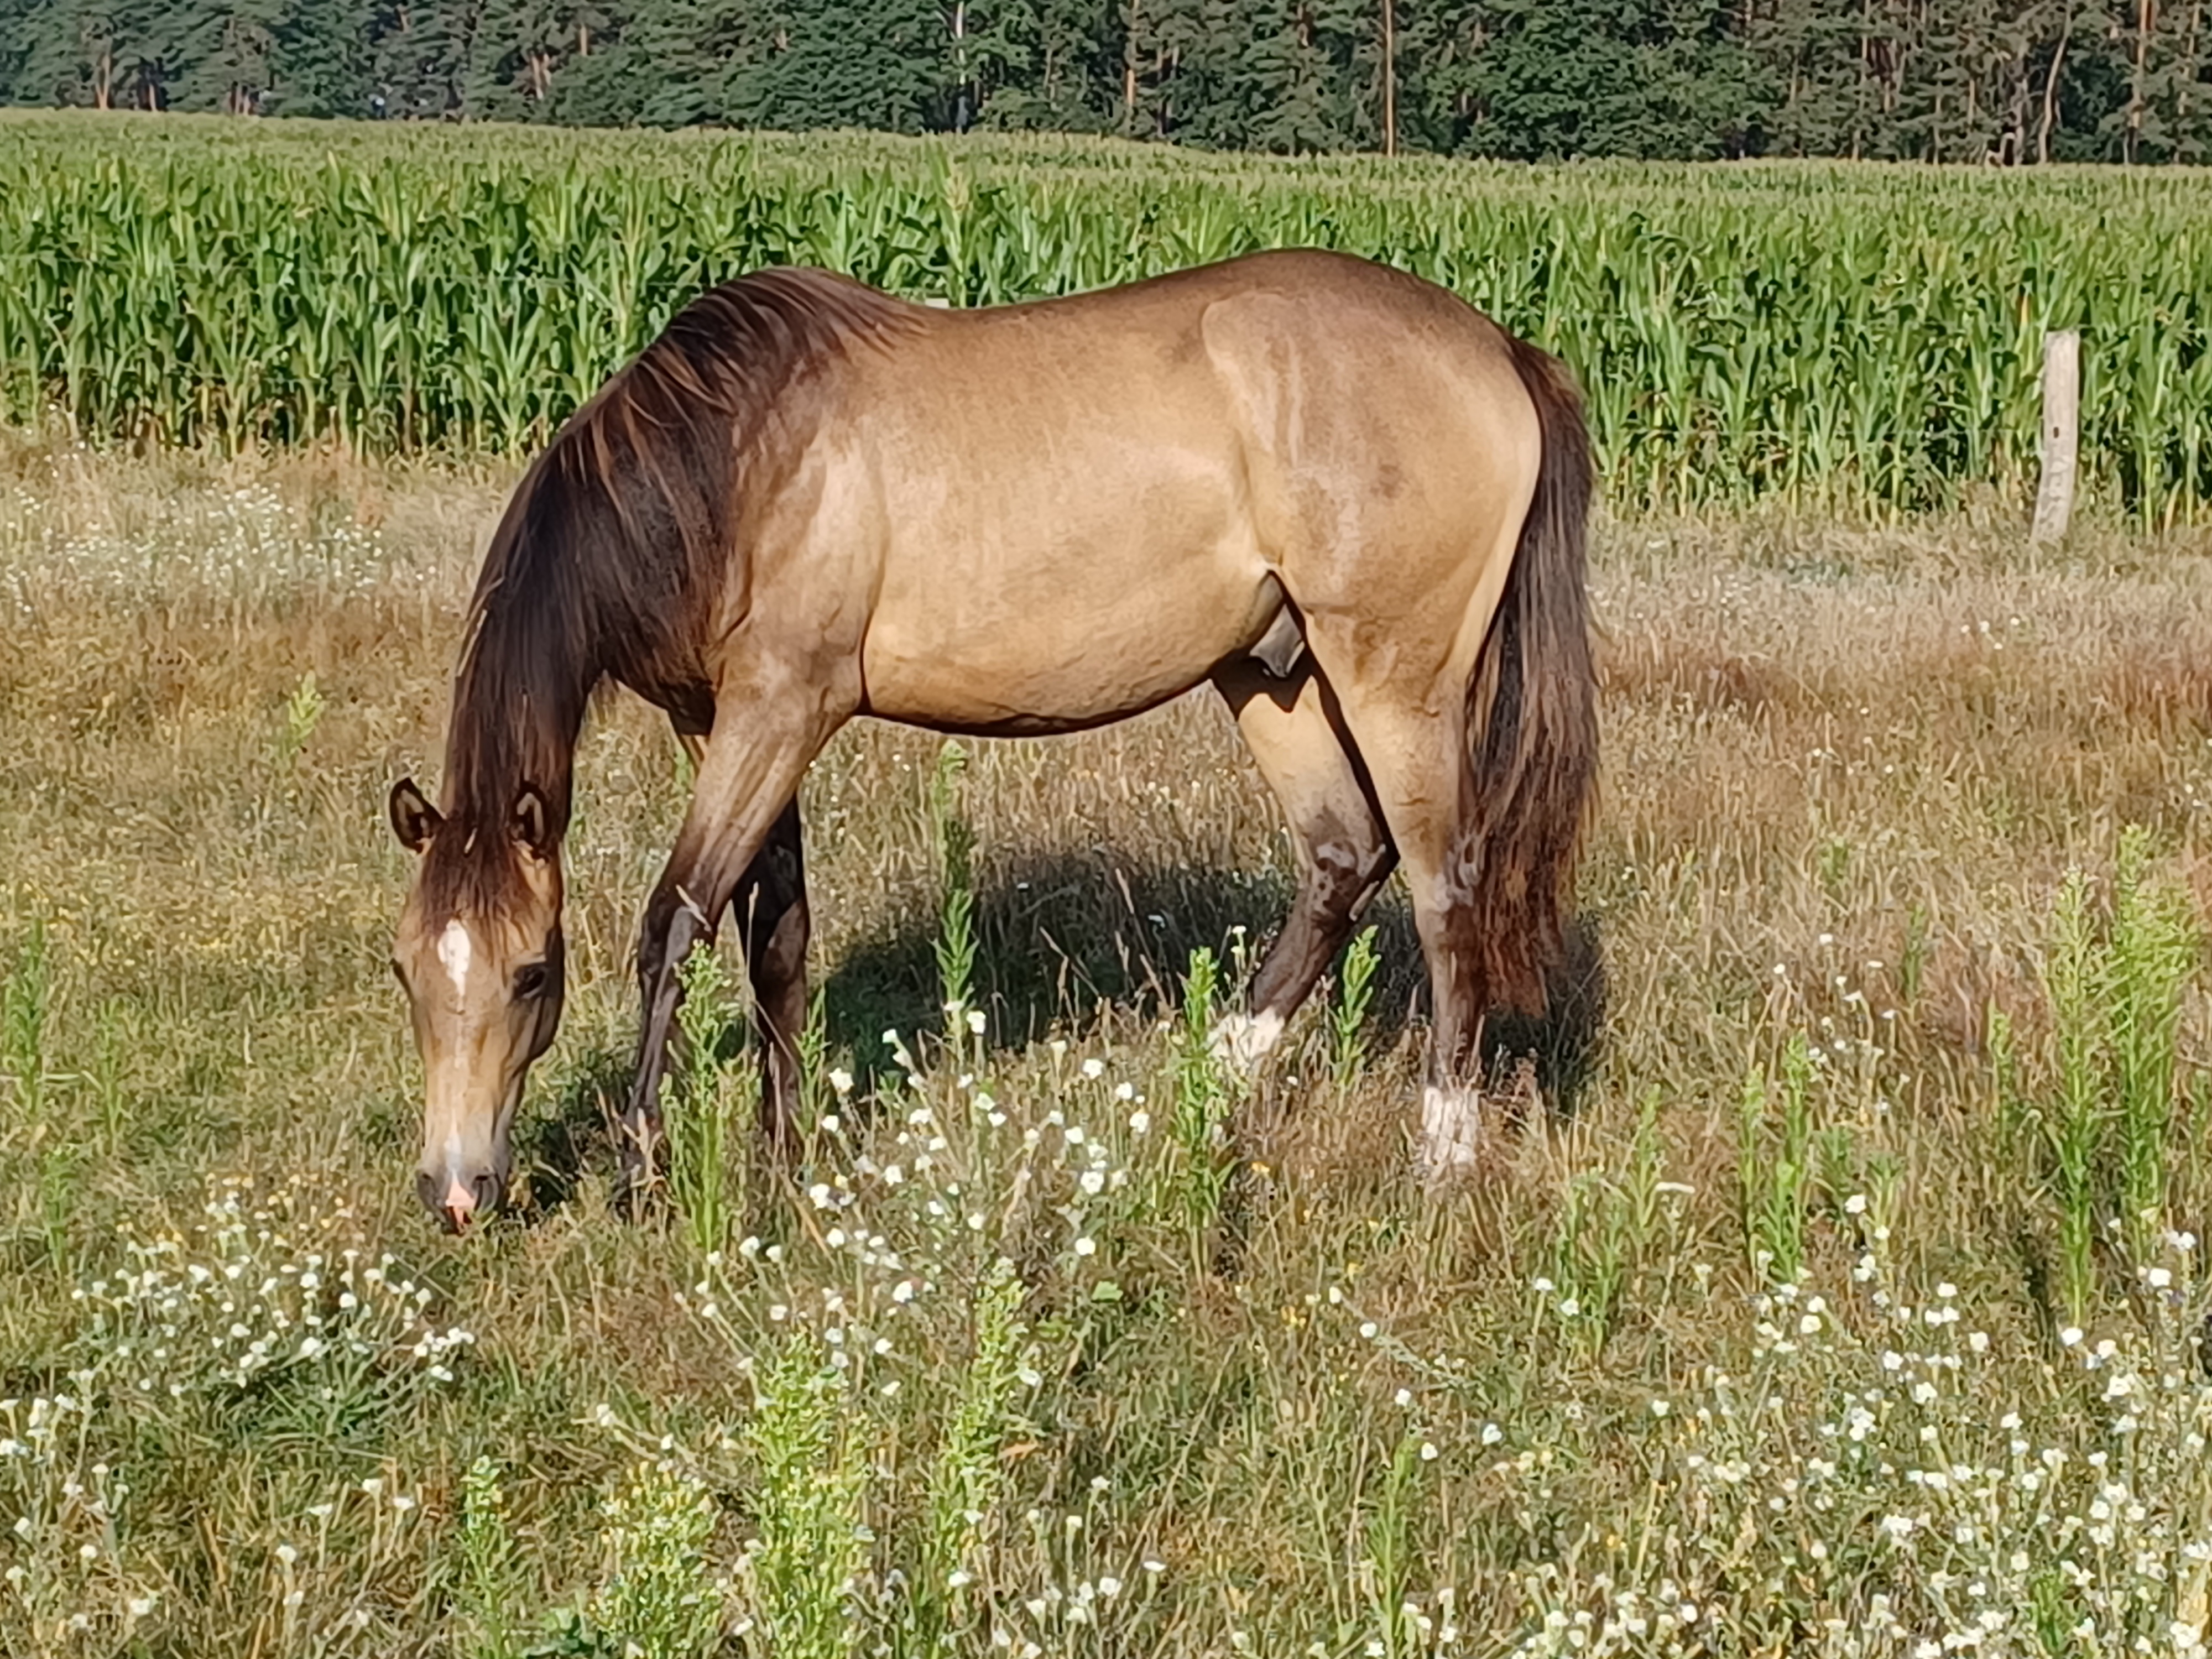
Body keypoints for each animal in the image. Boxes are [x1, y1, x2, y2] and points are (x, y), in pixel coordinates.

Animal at [386, 248, 1597, 1232]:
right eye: (405, 970)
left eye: (533, 973)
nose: (457, 1190)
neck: (728, 461)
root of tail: (1497, 348)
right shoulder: (721, 722)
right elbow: (776, 933)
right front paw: (785, 1160)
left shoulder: (780, 712)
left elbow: (674, 921)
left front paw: (642, 1172)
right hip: (1270, 674)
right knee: (1343, 860)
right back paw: (1199, 1092)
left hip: (1395, 682)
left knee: (1445, 894)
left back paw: (1440, 1158)